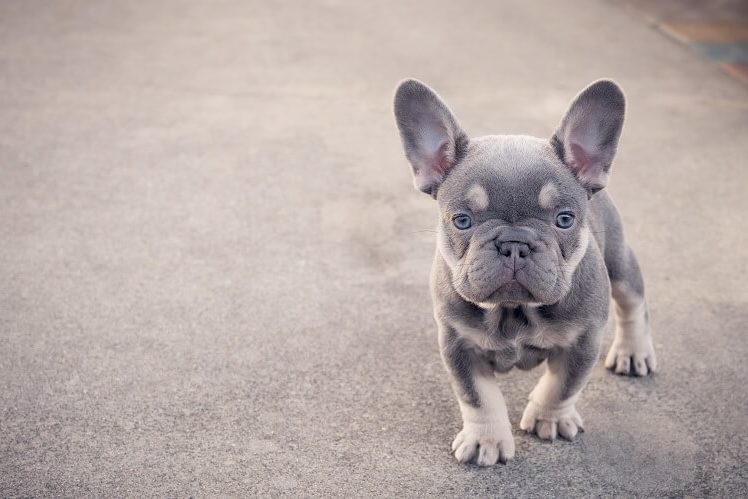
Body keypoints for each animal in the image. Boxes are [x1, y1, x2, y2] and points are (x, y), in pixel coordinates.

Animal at [394, 77, 656, 464]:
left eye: (564, 219)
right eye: (462, 220)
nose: (514, 244)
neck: (514, 310)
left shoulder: (584, 340)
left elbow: (562, 386)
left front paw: (550, 418)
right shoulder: (458, 344)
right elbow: (478, 397)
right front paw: (486, 439)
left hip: (620, 262)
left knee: (633, 302)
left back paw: (633, 351)